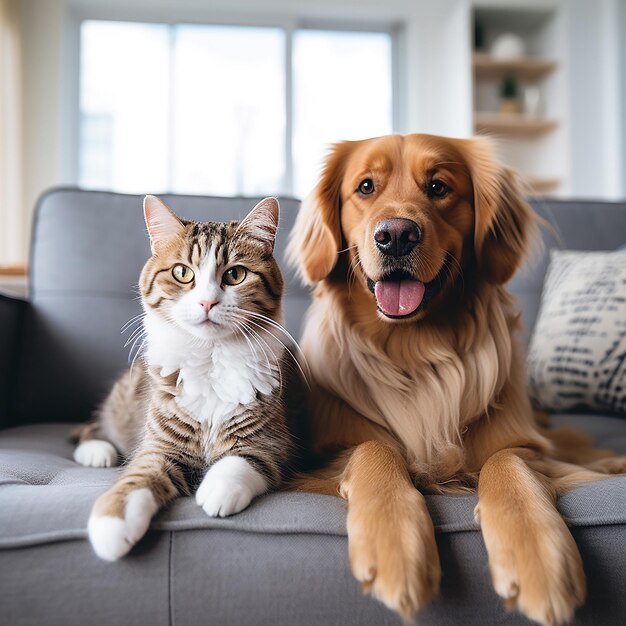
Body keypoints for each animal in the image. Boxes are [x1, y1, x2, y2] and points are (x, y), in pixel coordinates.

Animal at [72, 195, 298, 560]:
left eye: (235, 274)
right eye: (182, 272)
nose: (207, 302)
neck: (210, 359)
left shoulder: (270, 442)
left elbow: (242, 461)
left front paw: (216, 490)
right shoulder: (159, 445)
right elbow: (138, 476)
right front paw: (111, 523)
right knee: (93, 428)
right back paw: (96, 452)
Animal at [286, 133, 624, 624]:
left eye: (439, 187)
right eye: (365, 186)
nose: (396, 235)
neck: (415, 351)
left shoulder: (522, 442)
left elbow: (509, 462)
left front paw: (537, 554)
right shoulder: (326, 452)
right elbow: (374, 449)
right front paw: (394, 544)